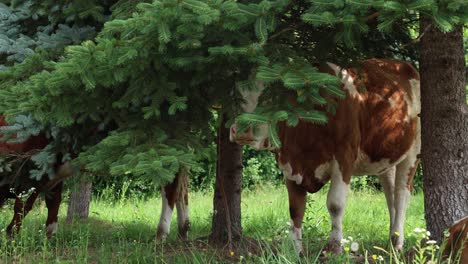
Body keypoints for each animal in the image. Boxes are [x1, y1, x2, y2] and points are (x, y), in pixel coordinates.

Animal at [230, 58, 420, 254]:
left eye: (270, 97)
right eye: (237, 98)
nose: (241, 130)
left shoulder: (345, 157)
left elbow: (335, 204)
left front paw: (334, 247)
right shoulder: (290, 165)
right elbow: (295, 209)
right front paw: (295, 250)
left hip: (413, 150)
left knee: (402, 193)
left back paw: (397, 243)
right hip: (384, 157)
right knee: (390, 195)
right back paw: (391, 237)